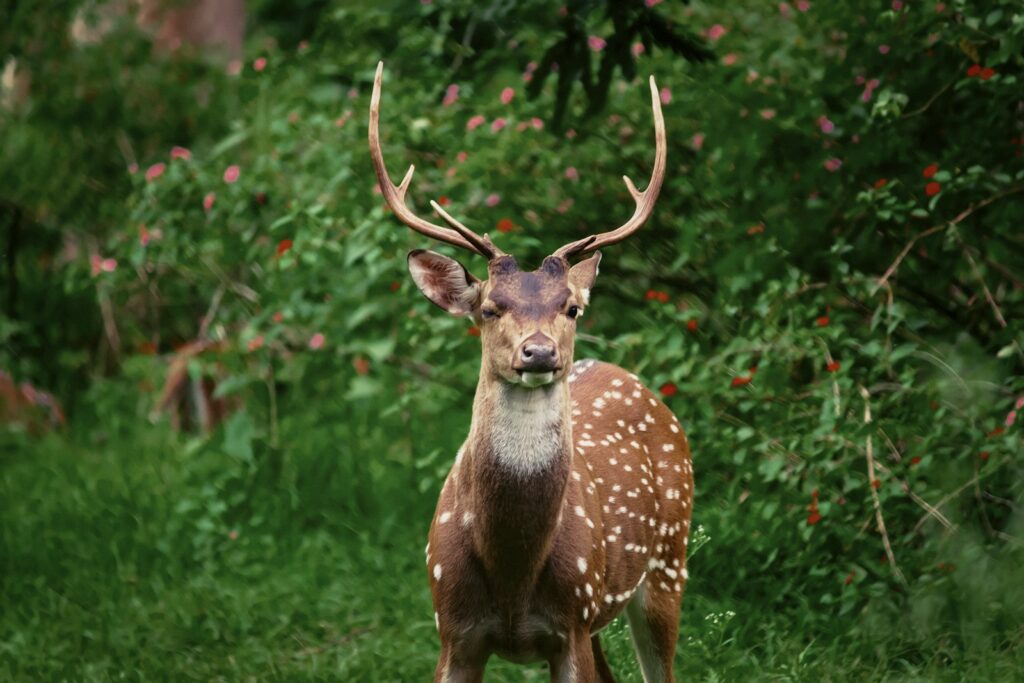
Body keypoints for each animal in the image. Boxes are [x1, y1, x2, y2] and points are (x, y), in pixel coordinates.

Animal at [369, 62, 694, 682]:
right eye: (490, 307)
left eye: (571, 307)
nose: (539, 353)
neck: (513, 569)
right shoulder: (452, 629)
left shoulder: (571, 622)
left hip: (669, 557)